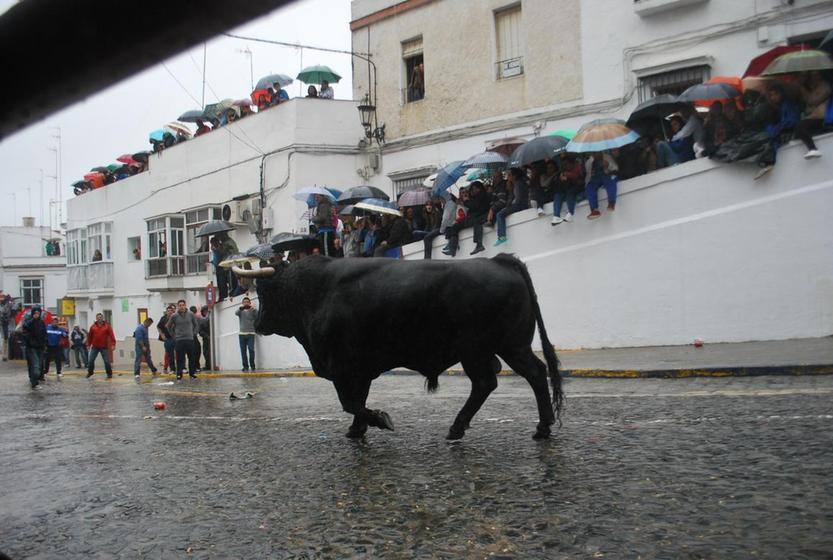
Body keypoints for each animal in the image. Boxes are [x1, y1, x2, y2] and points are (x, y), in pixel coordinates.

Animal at [231, 254, 564, 442]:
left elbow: (350, 402)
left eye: (264, 291)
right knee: (528, 375)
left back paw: (461, 428)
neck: (314, 292)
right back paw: (539, 427)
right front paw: (357, 430)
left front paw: (380, 420)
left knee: (494, 381)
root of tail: (498, 260)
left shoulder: (344, 368)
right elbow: (357, 402)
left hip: (482, 349)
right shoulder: (359, 370)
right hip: (508, 346)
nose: (258, 323)